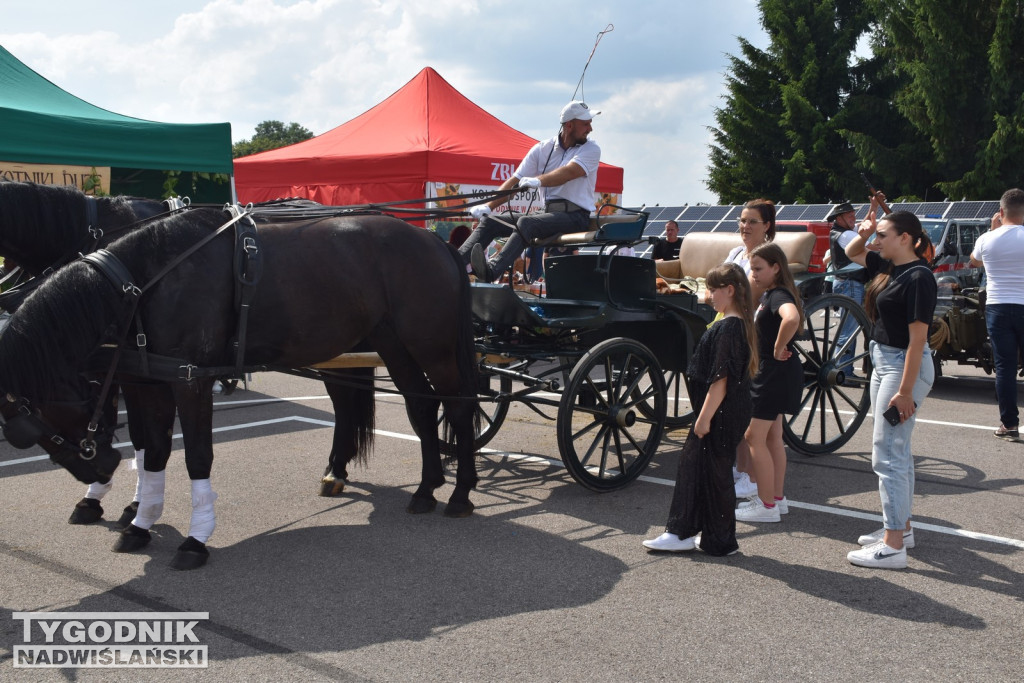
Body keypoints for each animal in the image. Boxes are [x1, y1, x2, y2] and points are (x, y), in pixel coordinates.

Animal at [0, 205, 477, 569]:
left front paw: (194, 540)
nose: (98, 470)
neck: (144, 281)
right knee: (417, 407)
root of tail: (437, 242)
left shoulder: (189, 381)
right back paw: (425, 488)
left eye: (30, 421)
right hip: (391, 343)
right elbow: (153, 451)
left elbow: (196, 456)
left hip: (432, 348)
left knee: (457, 409)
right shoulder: (147, 381)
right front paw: (139, 523)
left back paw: (460, 493)